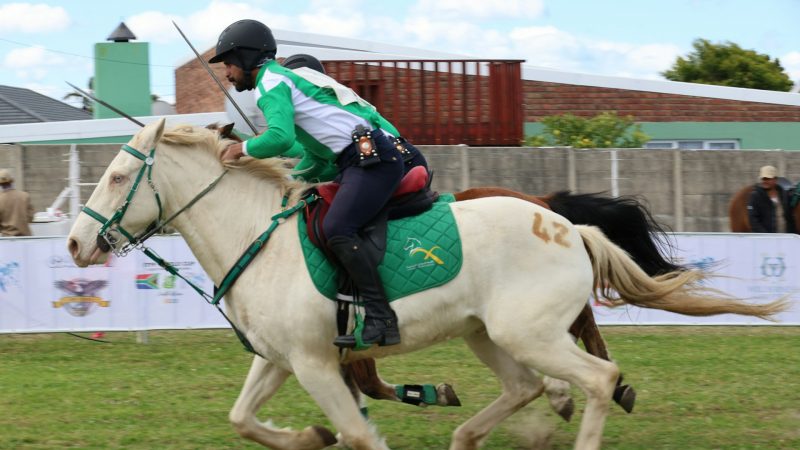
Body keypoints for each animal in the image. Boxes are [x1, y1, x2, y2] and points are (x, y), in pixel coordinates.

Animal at [67, 120, 780, 450]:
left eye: (116, 176)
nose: (75, 244)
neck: (258, 239)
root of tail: (567, 225)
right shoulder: (282, 358)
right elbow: (243, 419)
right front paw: (309, 436)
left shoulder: (317, 363)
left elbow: (358, 433)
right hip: (487, 334)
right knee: (526, 387)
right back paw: (470, 433)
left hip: (528, 333)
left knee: (596, 377)